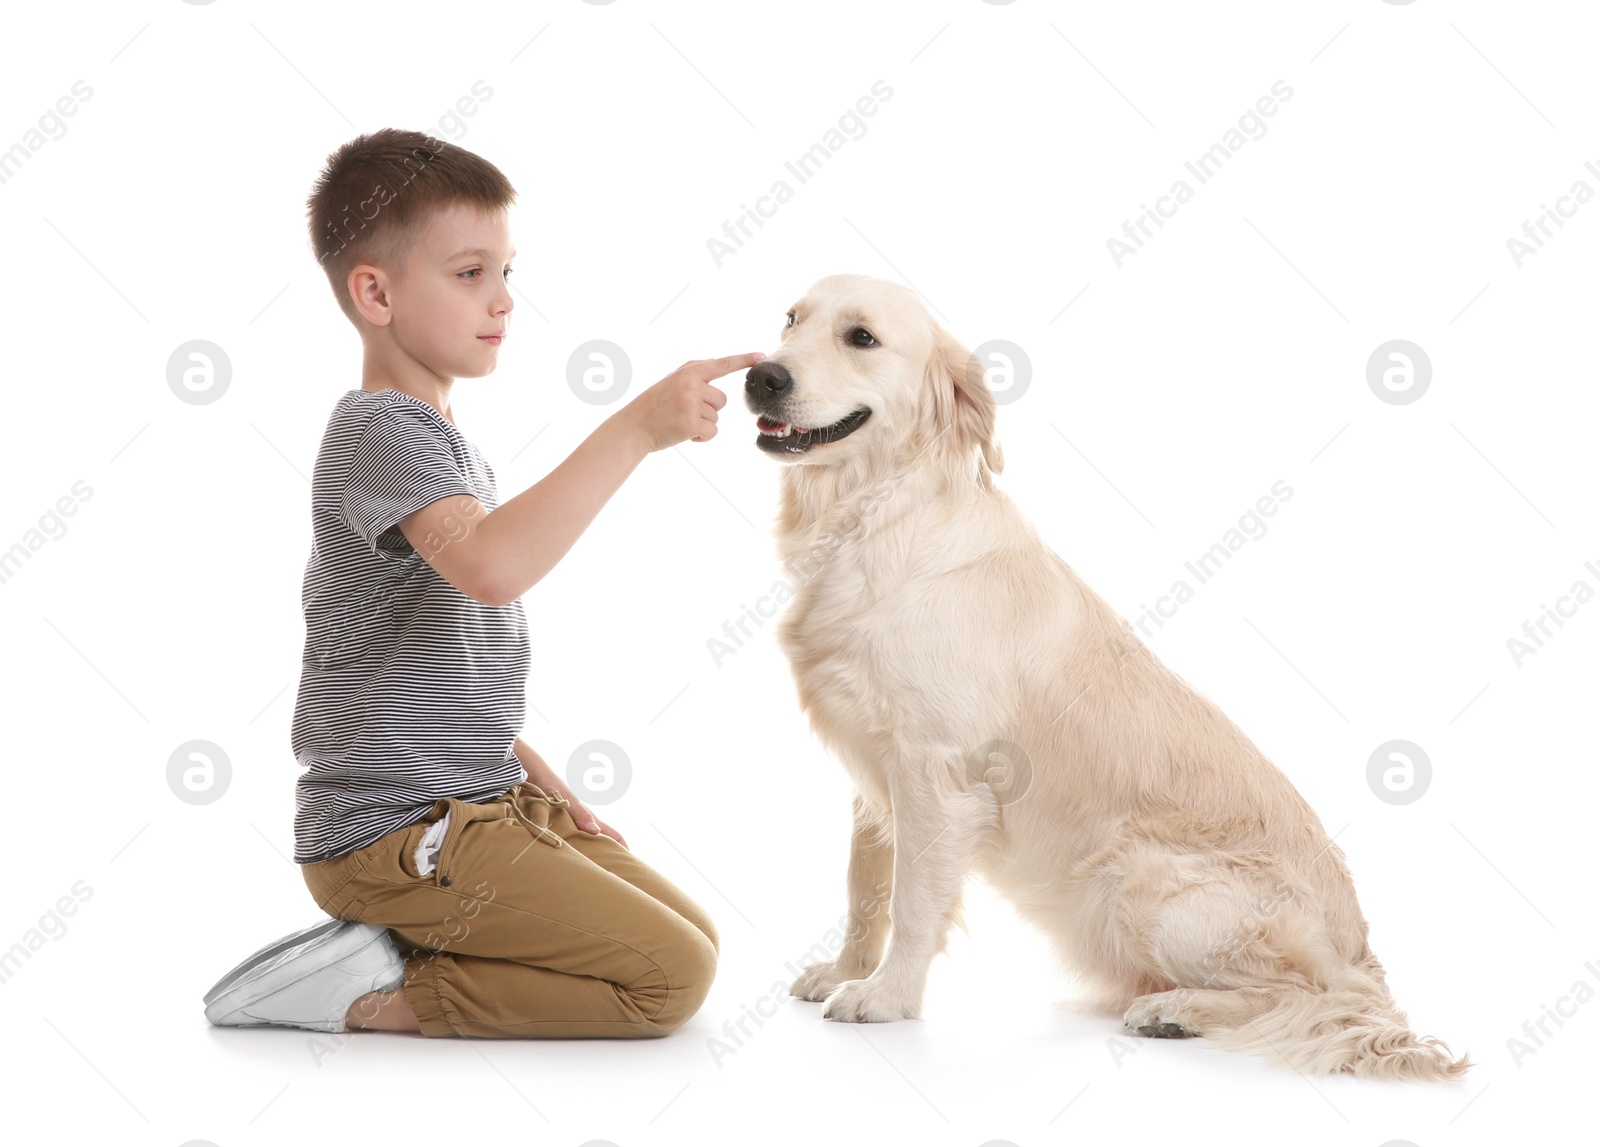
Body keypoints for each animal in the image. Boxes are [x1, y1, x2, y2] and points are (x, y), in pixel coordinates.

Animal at [742, 273, 1465, 1081]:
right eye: (791, 320)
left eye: (861, 337)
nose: (761, 377)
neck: (875, 519)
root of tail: (1362, 951)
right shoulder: (874, 773)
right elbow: (864, 888)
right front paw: (844, 970)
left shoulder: (933, 773)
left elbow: (912, 901)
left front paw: (886, 997)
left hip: (1138, 876)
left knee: (1314, 996)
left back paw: (1177, 1010)